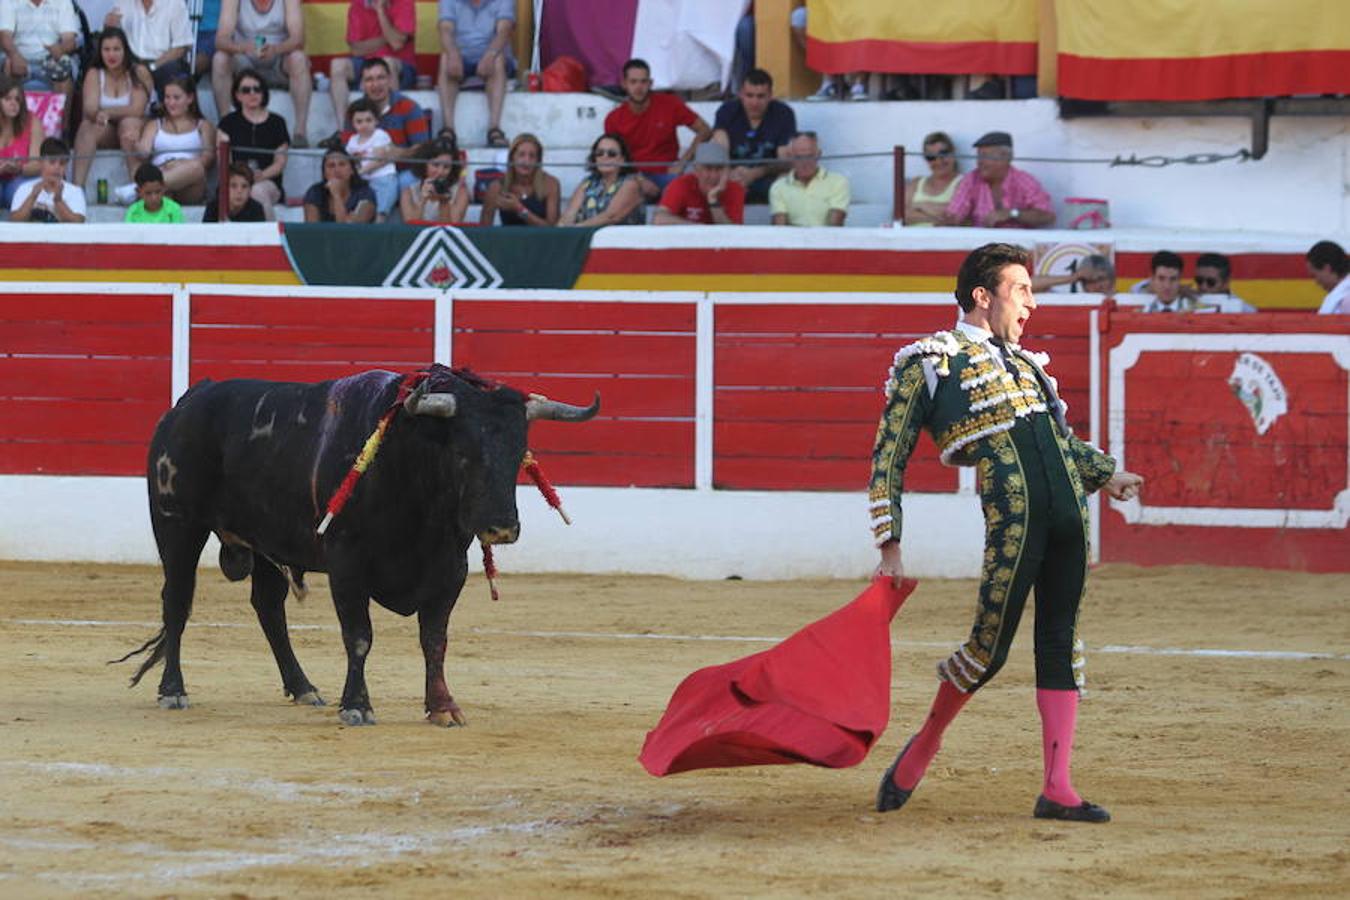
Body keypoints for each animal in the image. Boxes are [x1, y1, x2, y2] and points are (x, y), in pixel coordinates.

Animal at [113, 367, 599, 723]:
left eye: (519, 455)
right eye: (463, 454)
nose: (501, 528)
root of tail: (190, 400)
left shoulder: (450, 570)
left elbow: (434, 639)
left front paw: (443, 707)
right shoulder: (347, 566)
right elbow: (359, 636)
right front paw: (357, 706)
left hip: (267, 540)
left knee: (268, 609)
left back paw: (304, 687)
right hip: (178, 526)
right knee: (177, 603)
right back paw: (173, 690)